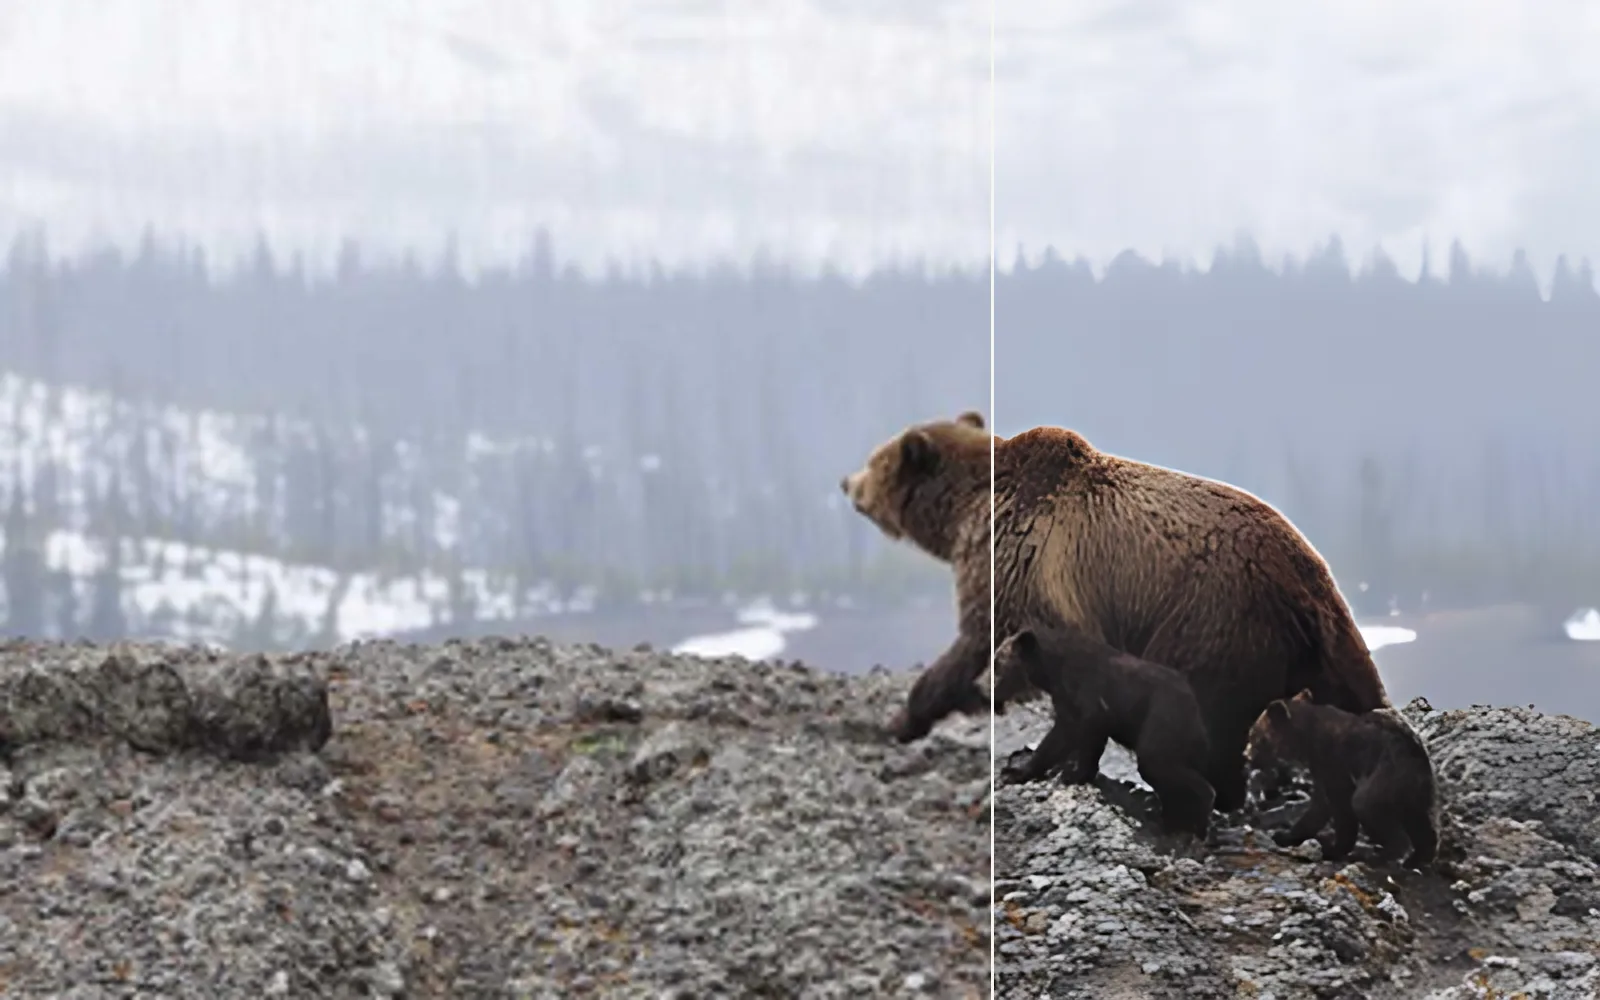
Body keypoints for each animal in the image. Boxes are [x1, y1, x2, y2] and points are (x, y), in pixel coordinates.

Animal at [972, 425, 1392, 813]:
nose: (985, 690)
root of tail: (1309, 579)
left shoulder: (1056, 580)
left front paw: (1040, 765)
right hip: (1316, 650)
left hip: (1214, 621)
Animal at [994, 624, 1216, 838]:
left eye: (998, 662)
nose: (989, 690)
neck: (1053, 671)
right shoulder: (1067, 702)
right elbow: (1059, 739)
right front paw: (1017, 771)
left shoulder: (1091, 697)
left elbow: (1084, 732)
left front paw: (1073, 774)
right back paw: (1172, 821)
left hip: (1164, 718)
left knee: (1157, 762)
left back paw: (1198, 822)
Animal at [1246, 689, 1440, 868]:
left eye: (1254, 735)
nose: (1246, 756)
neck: (1305, 740)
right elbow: (1320, 806)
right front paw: (1285, 836)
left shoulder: (1332, 761)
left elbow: (1338, 805)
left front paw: (1333, 849)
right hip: (1416, 790)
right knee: (1420, 820)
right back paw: (1417, 858)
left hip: (1384, 776)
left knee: (1366, 806)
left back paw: (1380, 855)